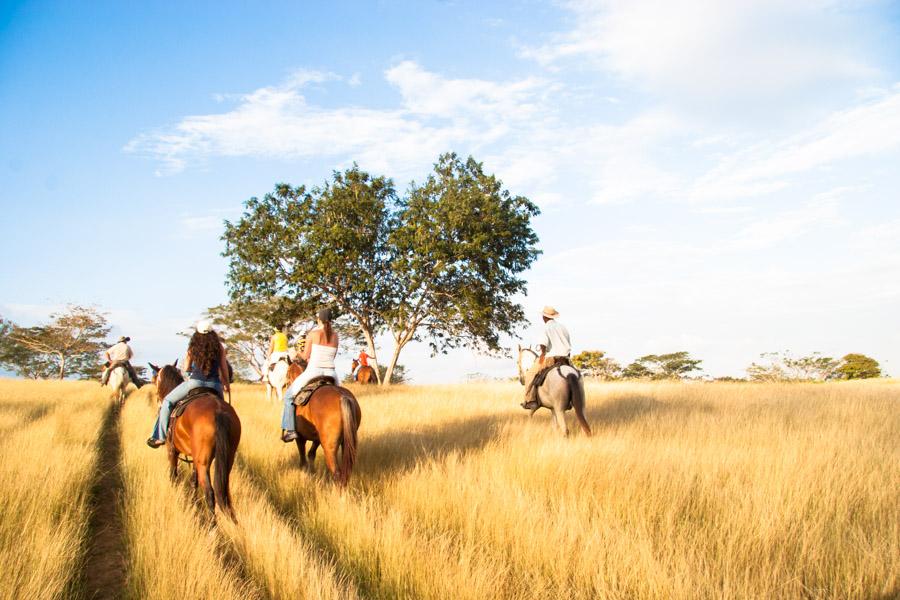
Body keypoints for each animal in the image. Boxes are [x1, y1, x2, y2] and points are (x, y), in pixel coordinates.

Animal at [153, 364, 241, 516]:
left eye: (156, 379)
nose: (158, 399)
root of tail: (218, 411)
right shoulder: (194, 458)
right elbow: (193, 481)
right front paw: (193, 503)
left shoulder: (172, 451)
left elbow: (173, 475)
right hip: (227, 458)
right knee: (224, 493)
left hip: (203, 463)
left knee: (210, 493)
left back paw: (212, 522)